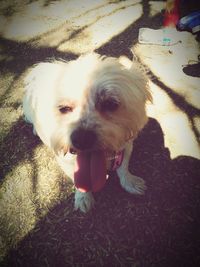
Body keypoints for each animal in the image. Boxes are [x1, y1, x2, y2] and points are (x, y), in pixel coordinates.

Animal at [23, 53, 152, 214]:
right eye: (63, 108)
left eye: (110, 104)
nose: (82, 139)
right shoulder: (65, 161)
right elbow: (78, 182)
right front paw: (83, 198)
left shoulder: (126, 147)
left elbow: (123, 168)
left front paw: (130, 182)